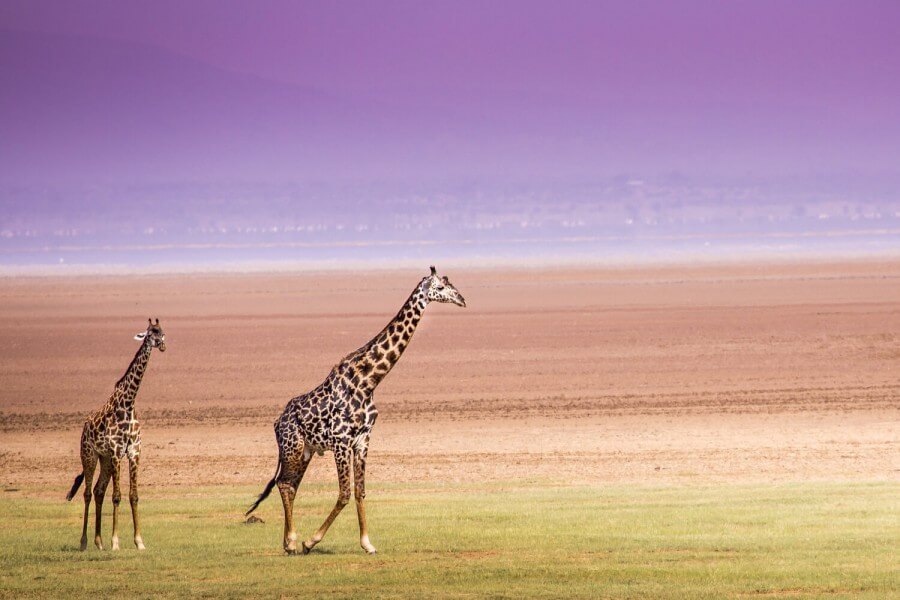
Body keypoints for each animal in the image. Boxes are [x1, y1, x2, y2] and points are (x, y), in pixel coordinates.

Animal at [67, 318, 167, 552]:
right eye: (150, 333)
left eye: (162, 332)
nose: (162, 345)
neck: (128, 403)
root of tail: (85, 426)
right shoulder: (116, 452)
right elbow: (117, 496)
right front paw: (115, 542)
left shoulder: (133, 452)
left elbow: (133, 496)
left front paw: (139, 541)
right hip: (90, 455)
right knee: (87, 493)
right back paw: (84, 542)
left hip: (104, 460)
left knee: (98, 491)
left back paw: (98, 541)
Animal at [248, 264, 468, 556]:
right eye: (441, 287)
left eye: (450, 284)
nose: (462, 300)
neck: (368, 380)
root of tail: (277, 422)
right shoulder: (342, 442)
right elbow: (343, 493)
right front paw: (311, 541)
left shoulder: (363, 440)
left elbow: (360, 491)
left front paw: (367, 543)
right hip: (292, 446)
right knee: (285, 484)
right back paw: (293, 541)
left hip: (305, 451)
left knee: (290, 485)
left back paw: (287, 543)